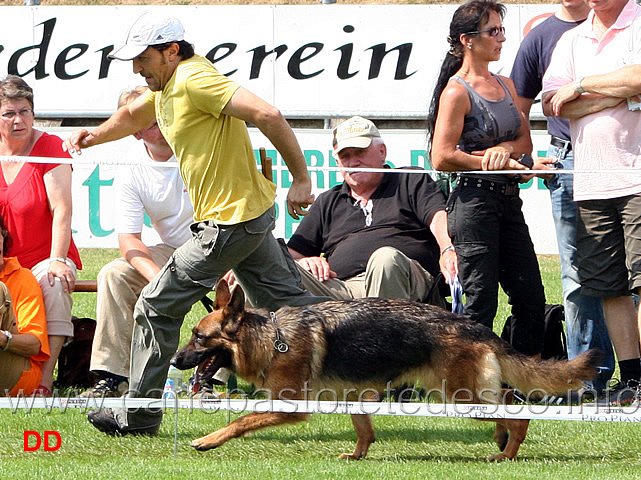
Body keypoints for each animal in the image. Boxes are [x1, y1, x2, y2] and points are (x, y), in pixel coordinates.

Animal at [171, 280, 600, 460]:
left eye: (198, 337)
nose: (174, 362)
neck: (273, 338)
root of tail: (473, 325)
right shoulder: (352, 397)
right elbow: (364, 429)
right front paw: (359, 455)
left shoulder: (288, 406)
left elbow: (241, 419)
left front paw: (208, 440)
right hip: (465, 393)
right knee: (509, 398)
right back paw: (501, 441)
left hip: (459, 396)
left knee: (519, 413)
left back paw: (507, 453)